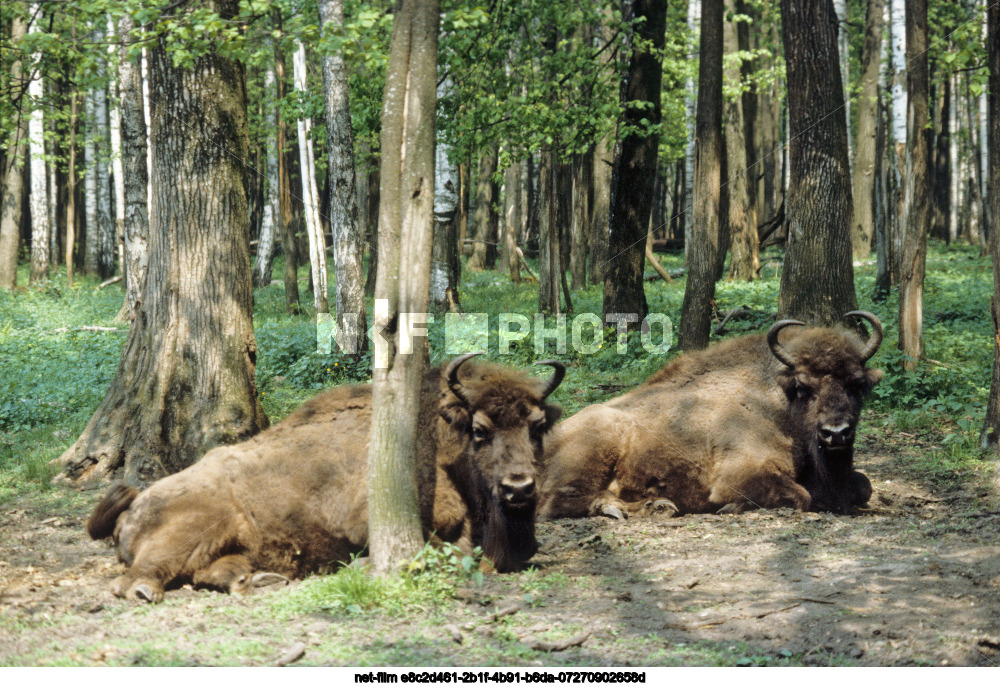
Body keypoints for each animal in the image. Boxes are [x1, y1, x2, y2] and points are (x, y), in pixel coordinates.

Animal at [88, 354, 564, 600]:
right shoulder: (369, 521)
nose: (519, 487)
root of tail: (135, 502)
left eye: (537, 425)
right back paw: (147, 591)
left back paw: (257, 580)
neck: (443, 443)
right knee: (136, 577)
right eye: (481, 430)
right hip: (194, 527)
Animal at [540, 314, 884, 520]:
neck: (778, 403)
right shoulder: (739, 475)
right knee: (557, 501)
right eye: (803, 387)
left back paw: (658, 504)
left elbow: (863, 486)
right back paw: (640, 507)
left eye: (856, 384)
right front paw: (729, 506)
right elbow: (801, 496)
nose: (836, 433)